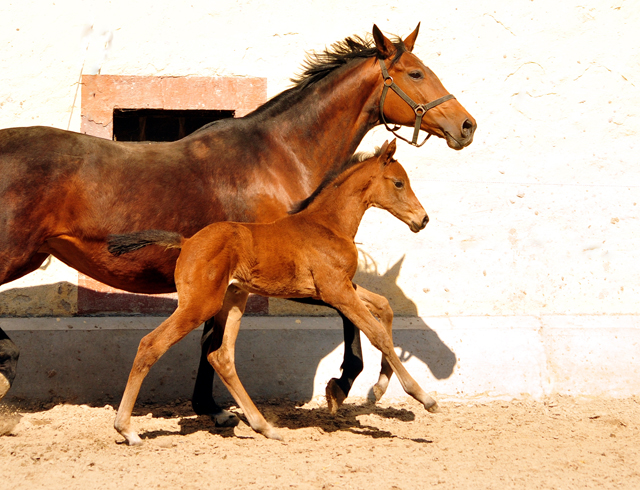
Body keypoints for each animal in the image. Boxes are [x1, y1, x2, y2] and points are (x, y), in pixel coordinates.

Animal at [110, 140, 438, 446]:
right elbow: (377, 333)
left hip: (234, 301)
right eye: (398, 183)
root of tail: (187, 241)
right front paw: (423, 397)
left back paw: (265, 427)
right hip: (200, 305)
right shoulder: (337, 291)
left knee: (221, 356)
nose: (422, 219)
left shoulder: (340, 287)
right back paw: (127, 429)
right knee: (151, 344)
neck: (328, 225)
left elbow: (385, 307)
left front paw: (378, 389)